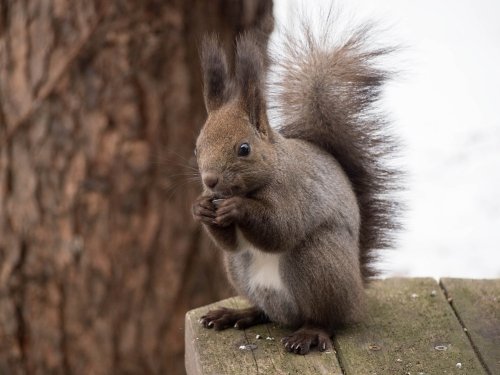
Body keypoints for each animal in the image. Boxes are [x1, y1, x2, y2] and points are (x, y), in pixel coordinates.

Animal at [191, 13, 402, 356]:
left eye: (244, 149)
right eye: (196, 148)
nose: (210, 181)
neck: (272, 168)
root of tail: (358, 293)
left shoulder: (295, 191)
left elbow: (282, 228)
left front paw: (238, 207)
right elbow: (230, 242)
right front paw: (200, 208)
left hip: (318, 263)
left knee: (326, 319)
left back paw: (309, 333)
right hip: (239, 269)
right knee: (264, 309)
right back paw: (238, 313)